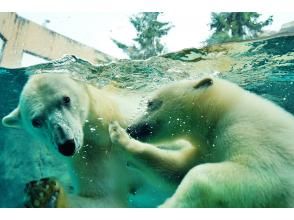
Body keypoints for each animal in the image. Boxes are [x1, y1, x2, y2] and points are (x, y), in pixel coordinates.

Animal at [1, 73, 177, 207]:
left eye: (66, 99)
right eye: (36, 121)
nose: (67, 145)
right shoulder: (90, 158)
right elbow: (103, 198)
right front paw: (43, 195)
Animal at [108, 76, 294, 207]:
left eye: (150, 103)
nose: (131, 128)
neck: (221, 112)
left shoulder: (250, 129)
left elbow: (263, 175)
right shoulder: (208, 148)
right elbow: (177, 170)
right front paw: (119, 136)